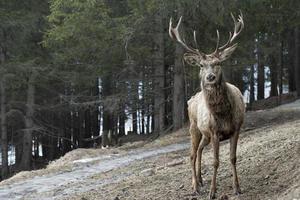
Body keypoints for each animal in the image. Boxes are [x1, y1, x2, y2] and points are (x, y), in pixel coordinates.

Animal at [169, 12, 246, 198]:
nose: (210, 77)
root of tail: (190, 100)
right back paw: (195, 186)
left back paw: (200, 180)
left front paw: (237, 188)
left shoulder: (236, 128)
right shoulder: (215, 132)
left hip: (205, 134)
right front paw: (212, 192)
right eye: (201, 65)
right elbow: (216, 162)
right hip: (194, 127)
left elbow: (233, 158)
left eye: (218, 63)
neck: (223, 115)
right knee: (191, 154)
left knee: (199, 151)